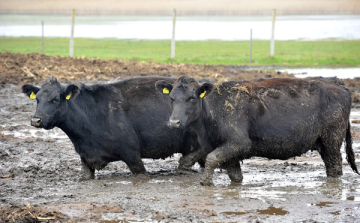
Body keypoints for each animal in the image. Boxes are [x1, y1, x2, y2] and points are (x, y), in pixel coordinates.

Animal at [156, 76, 358, 186]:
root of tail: (337, 82)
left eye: (191, 97)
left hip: (332, 140)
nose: (174, 122)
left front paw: (206, 182)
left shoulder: (239, 142)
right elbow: (234, 175)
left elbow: (212, 158)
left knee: (335, 167)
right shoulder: (230, 150)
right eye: (171, 98)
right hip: (323, 142)